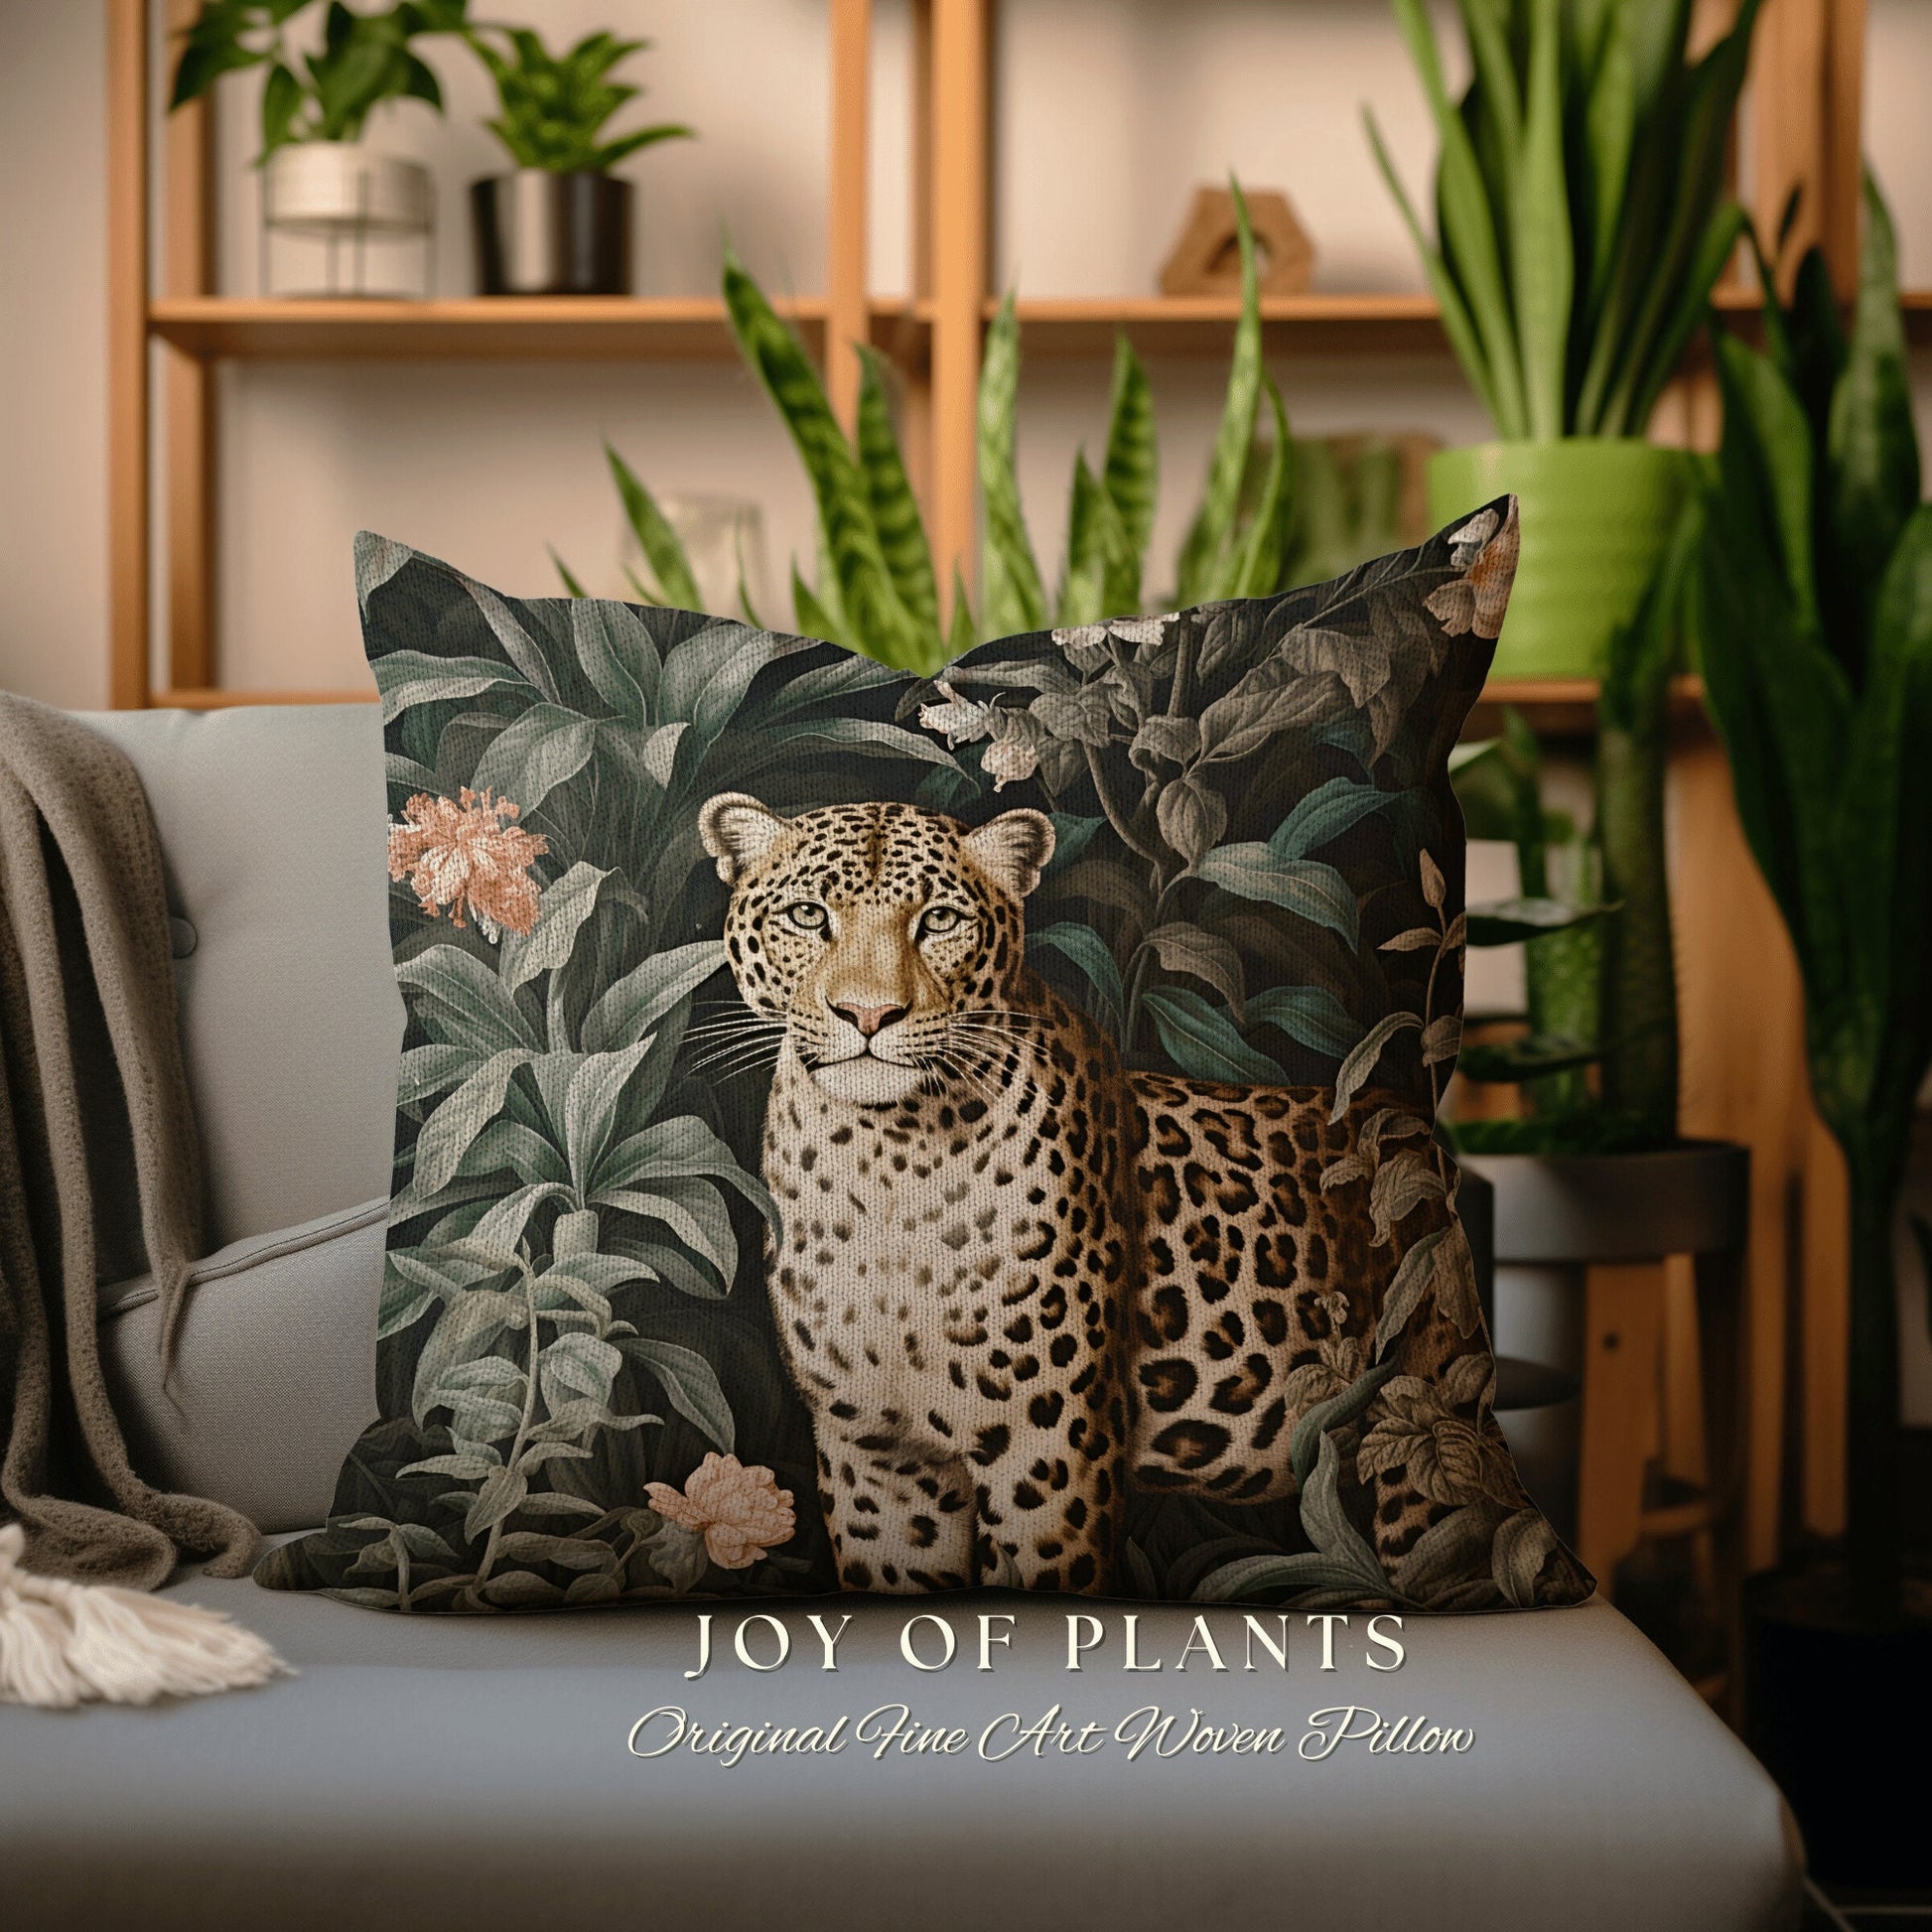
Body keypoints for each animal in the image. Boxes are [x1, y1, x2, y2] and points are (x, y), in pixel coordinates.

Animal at [697, 791, 1473, 1598]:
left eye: (938, 920)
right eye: (807, 915)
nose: (870, 1014)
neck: (885, 1166)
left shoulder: (1049, 1442)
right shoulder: (876, 1455)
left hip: (1421, 1432)